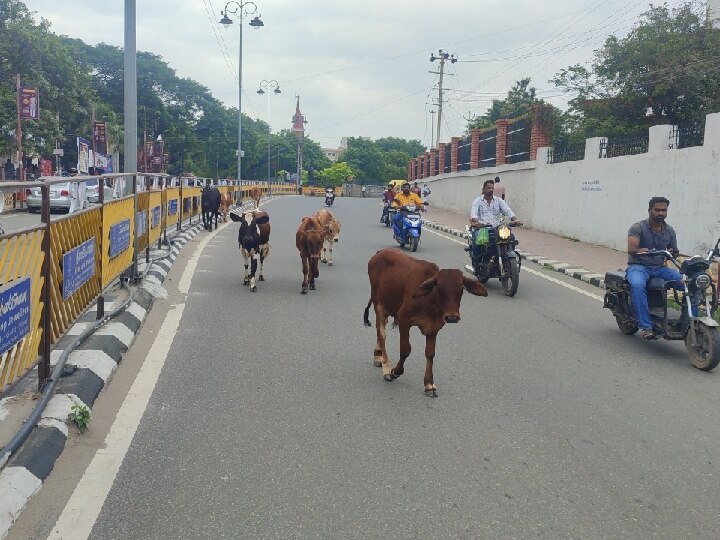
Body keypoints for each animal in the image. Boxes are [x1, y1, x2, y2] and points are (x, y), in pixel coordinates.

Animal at [362, 249, 486, 396]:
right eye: (439, 288)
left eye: (461, 289)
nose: (452, 317)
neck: (431, 302)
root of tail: (381, 251)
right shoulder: (404, 319)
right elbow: (405, 349)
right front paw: (395, 371)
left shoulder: (434, 327)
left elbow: (430, 354)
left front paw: (429, 384)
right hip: (378, 303)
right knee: (381, 333)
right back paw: (386, 367)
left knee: (380, 331)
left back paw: (378, 356)